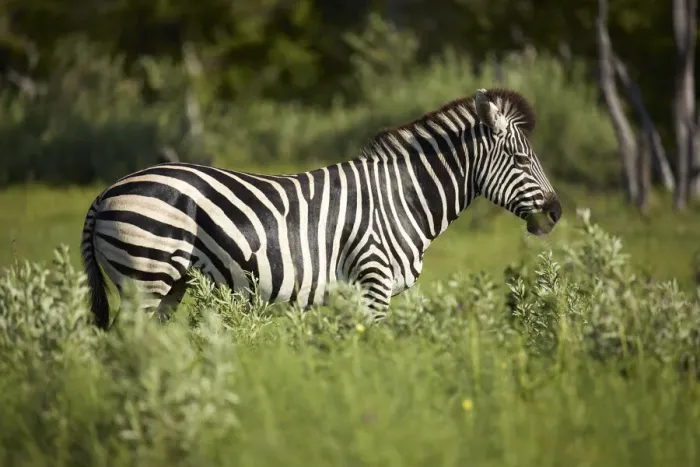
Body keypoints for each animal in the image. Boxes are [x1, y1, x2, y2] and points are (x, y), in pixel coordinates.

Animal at [81, 88, 562, 330]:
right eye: (521, 159)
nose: (556, 213)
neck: (401, 200)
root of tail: (107, 192)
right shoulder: (373, 281)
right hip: (145, 275)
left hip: (170, 284)